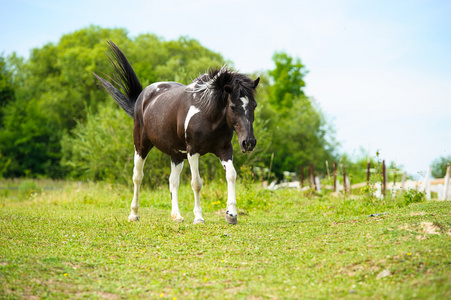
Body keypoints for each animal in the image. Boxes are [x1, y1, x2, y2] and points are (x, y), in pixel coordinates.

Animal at [93, 41, 260, 225]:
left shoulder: (224, 150)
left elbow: (231, 175)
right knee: (137, 177)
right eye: (232, 107)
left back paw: (176, 216)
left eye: (254, 105)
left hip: (176, 154)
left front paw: (231, 214)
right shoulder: (193, 152)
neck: (207, 114)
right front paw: (199, 217)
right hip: (141, 146)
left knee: (173, 182)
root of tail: (142, 97)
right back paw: (134, 214)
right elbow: (196, 183)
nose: (248, 142)